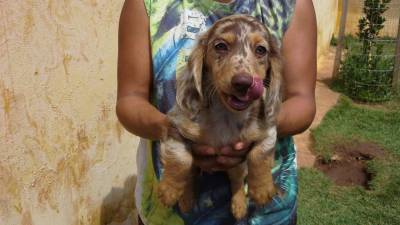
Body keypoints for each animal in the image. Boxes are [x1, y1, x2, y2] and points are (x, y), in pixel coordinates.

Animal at [158, 14, 282, 220]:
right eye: (221, 46)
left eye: (261, 50)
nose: (243, 83)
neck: (227, 115)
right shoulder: (175, 127)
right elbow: (181, 161)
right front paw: (169, 190)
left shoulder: (268, 131)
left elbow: (259, 155)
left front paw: (262, 189)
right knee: (190, 175)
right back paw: (186, 199)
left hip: (237, 166)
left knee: (237, 181)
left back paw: (239, 205)